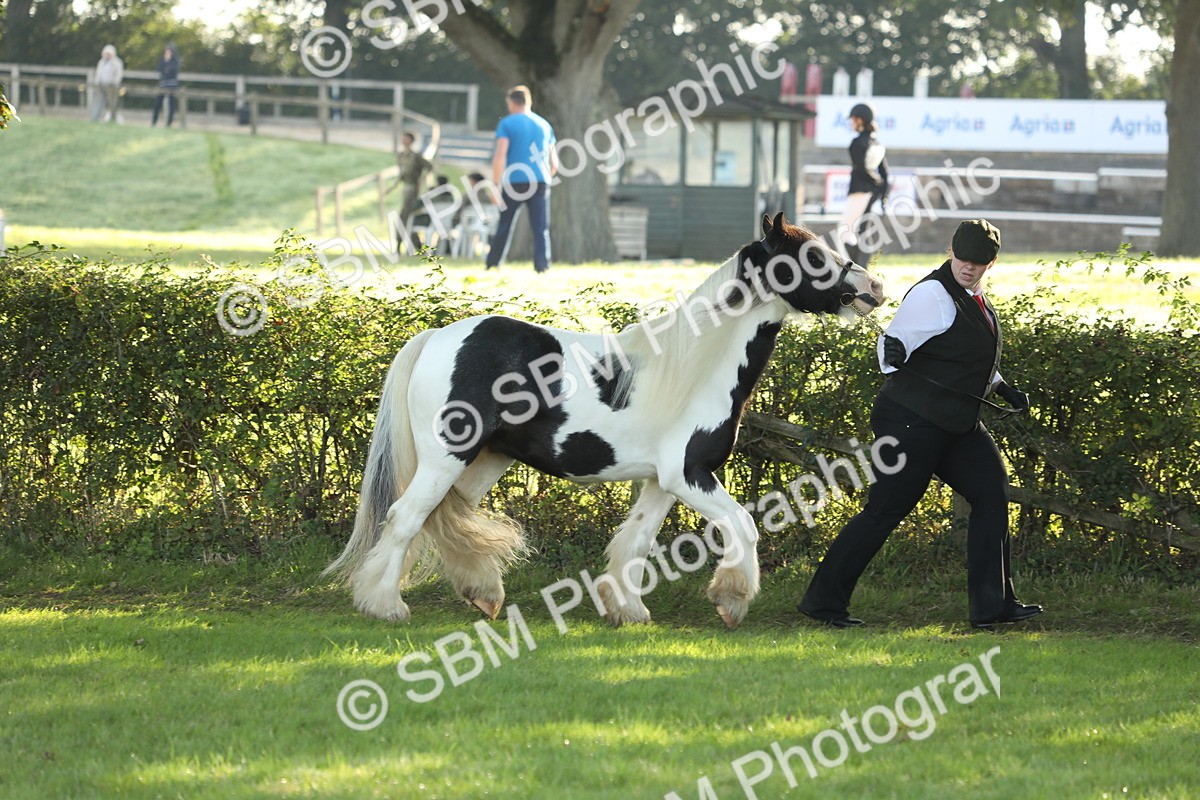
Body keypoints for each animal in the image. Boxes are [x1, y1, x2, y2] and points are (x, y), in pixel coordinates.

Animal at [323, 212, 884, 628]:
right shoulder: (691, 475)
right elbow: (742, 524)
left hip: (485, 461)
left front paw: (629, 610)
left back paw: (481, 593)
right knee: (405, 518)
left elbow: (634, 541)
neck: (696, 366)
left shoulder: (663, 482)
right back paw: (386, 606)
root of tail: (436, 338)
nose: (873, 287)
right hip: (447, 458)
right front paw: (732, 600)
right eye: (813, 255)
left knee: (444, 520)